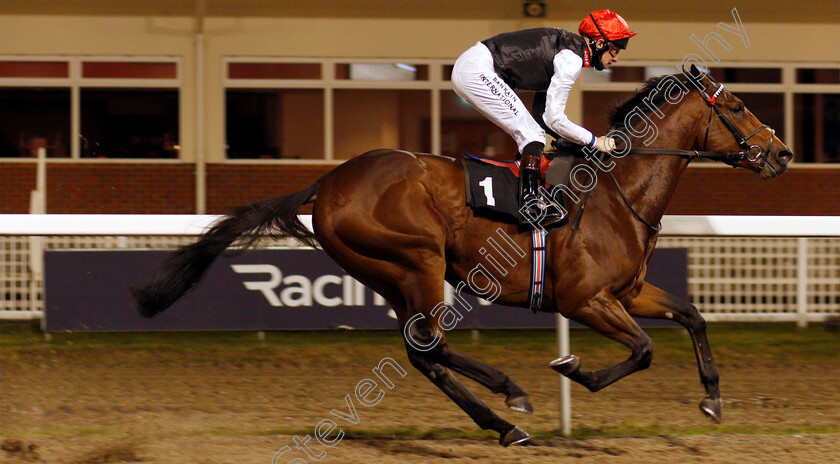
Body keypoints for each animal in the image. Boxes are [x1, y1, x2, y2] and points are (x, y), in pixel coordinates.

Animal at [133, 65, 796, 446]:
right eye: (738, 106)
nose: (783, 153)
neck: (616, 191)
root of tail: (326, 183)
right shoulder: (585, 299)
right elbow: (643, 350)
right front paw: (574, 369)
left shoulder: (628, 291)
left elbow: (692, 316)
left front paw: (711, 399)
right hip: (417, 260)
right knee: (428, 346)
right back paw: (510, 397)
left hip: (390, 275)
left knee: (424, 352)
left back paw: (505, 421)